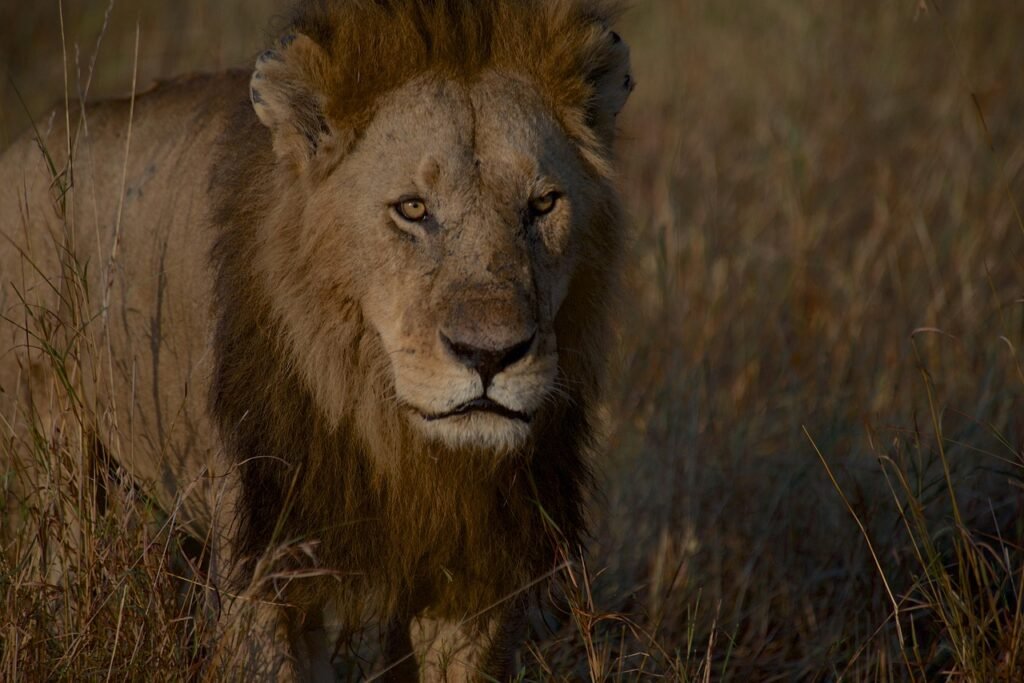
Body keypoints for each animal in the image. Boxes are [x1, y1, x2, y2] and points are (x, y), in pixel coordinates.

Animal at [0, 0, 633, 679]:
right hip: (56, 469)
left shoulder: (478, 578)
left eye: (542, 205)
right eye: (413, 208)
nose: (490, 355)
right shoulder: (264, 558)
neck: (396, 439)